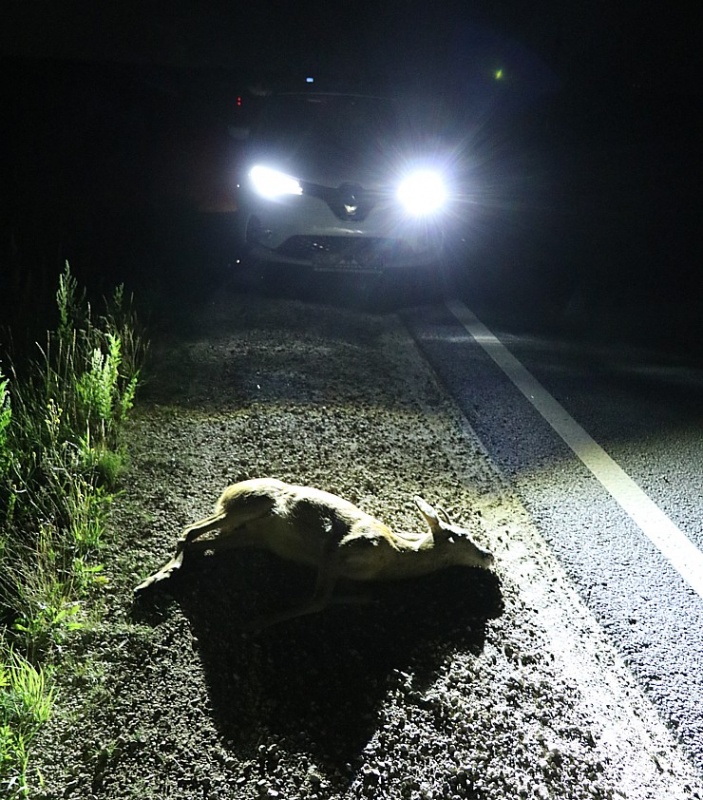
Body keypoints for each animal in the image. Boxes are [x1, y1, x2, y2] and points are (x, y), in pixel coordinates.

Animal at [133, 478, 496, 628]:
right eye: (464, 536)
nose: (490, 555)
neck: (394, 556)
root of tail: (228, 490)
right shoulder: (340, 547)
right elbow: (318, 600)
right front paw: (258, 621)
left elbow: (347, 597)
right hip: (247, 505)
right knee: (188, 531)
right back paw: (148, 583)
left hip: (250, 537)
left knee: (197, 544)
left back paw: (161, 577)